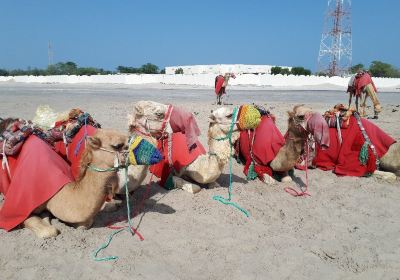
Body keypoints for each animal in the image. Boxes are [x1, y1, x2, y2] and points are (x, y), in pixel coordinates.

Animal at [1, 114, 162, 238]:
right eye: (117, 145)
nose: (156, 153)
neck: (59, 192)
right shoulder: (22, 203)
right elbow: (48, 231)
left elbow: (84, 224)